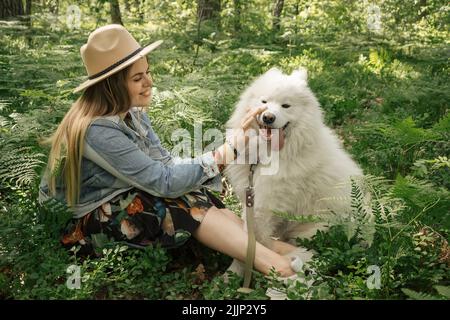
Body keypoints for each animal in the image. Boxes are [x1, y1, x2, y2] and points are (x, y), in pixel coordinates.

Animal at [224, 67, 362, 272]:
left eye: (286, 106)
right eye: (264, 102)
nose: (268, 117)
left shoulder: (263, 207)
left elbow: (255, 245)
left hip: (313, 230)